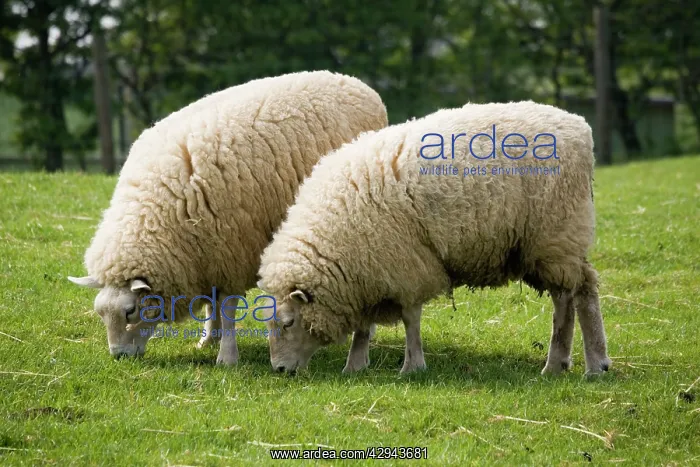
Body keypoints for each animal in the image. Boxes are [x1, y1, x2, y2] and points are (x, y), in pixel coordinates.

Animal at [67, 70, 388, 365]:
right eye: (100, 313)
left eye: (130, 311)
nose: (119, 356)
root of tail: (358, 84)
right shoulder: (205, 255)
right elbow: (211, 303)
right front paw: (209, 338)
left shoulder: (232, 251)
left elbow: (227, 307)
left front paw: (227, 356)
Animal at [256, 100, 612, 376]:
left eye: (287, 322)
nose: (280, 369)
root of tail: (579, 127)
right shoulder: (367, 271)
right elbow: (363, 324)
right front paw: (354, 365)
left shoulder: (404, 265)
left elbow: (410, 318)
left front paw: (412, 366)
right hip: (546, 244)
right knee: (577, 292)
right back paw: (580, 363)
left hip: (556, 234)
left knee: (572, 296)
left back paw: (570, 364)